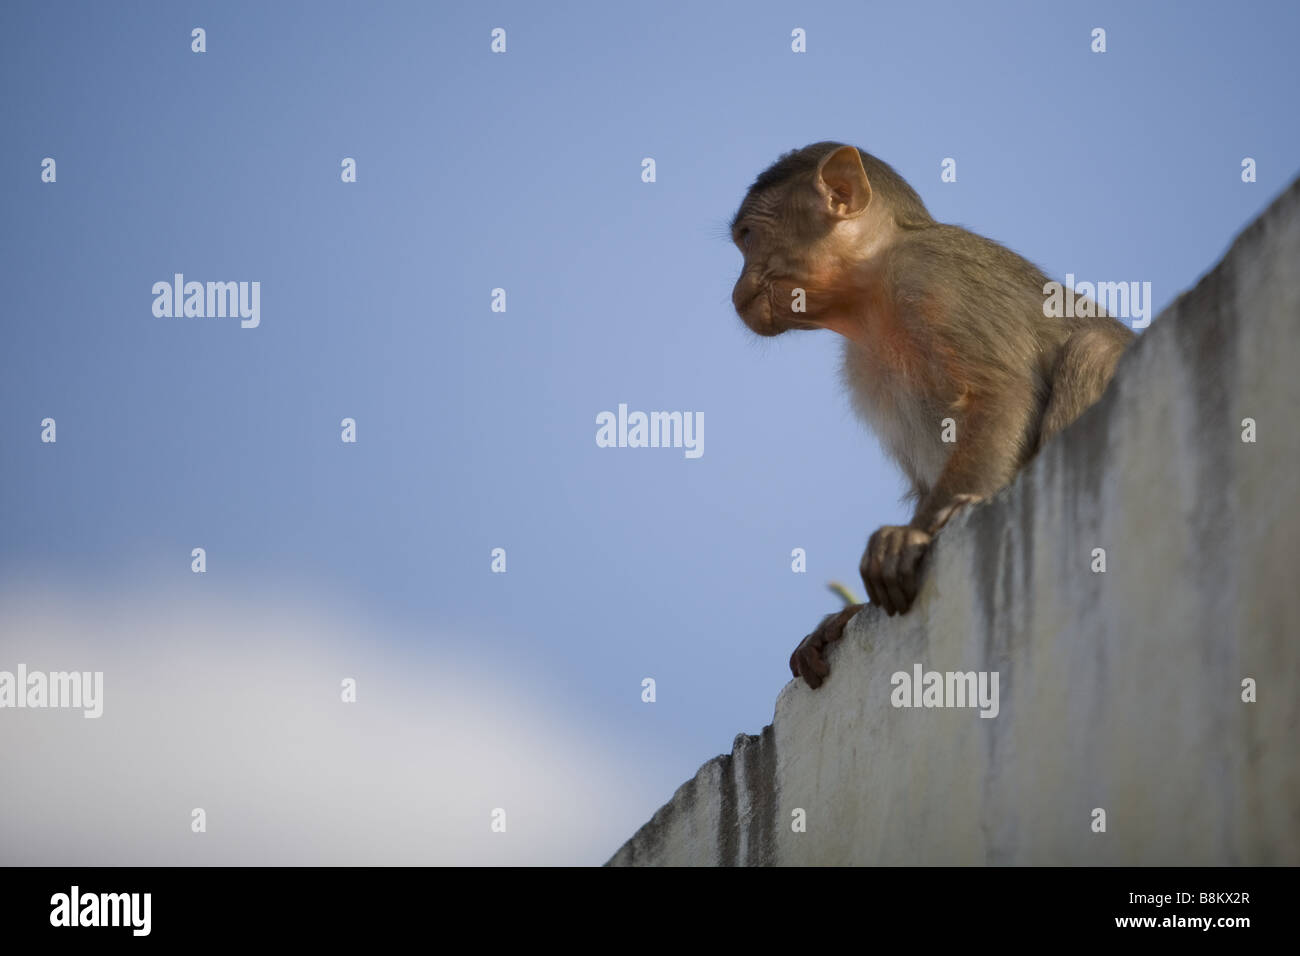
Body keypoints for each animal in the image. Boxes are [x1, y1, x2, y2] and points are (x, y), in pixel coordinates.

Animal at [733, 143, 1138, 686]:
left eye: (749, 237)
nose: (737, 288)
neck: (873, 291)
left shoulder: (931, 278)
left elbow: (1003, 392)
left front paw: (914, 536)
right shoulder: (864, 365)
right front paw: (848, 614)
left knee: (1092, 350)